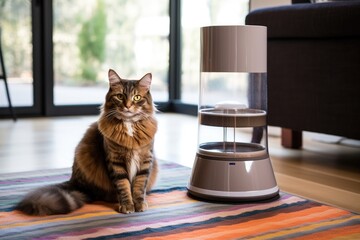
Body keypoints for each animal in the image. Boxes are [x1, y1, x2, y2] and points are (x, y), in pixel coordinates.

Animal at [15, 69, 159, 216]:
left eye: (137, 97)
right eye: (120, 96)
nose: (128, 106)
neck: (129, 126)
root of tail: (74, 181)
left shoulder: (145, 160)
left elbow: (139, 186)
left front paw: (139, 204)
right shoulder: (115, 162)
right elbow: (123, 186)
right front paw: (127, 205)